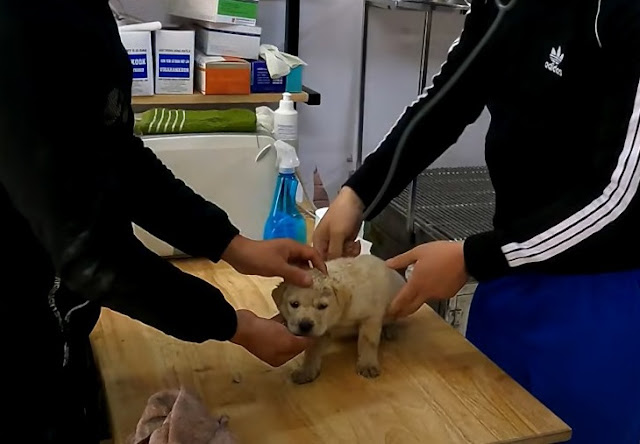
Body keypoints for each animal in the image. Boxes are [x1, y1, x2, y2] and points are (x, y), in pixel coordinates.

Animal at [272, 255, 404, 384]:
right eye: (294, 304)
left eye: (322, 306)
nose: (305, 325)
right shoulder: (322, 330)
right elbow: (312, 350)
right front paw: (306, 370)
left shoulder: (371, 317)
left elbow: (368, 342)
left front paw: (367, 364)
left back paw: (389, 330)